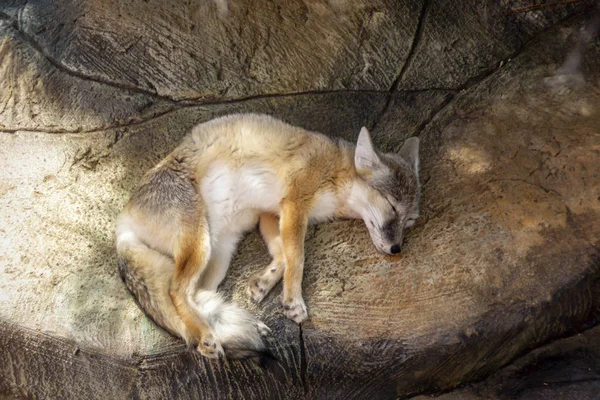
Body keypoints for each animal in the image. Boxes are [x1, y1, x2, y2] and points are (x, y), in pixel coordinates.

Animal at [115, 112, 420, 362]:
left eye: (409, 220)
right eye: (392, 207)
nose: (396, 248)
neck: (336, 169)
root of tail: (123, 222)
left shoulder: (270, 214)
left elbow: (283, 254)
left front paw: (264, 282)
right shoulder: (294, 204)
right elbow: (297, 257)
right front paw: (294, 300)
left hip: (221, 251)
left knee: (197, 296)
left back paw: (215, 330)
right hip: (199, 243)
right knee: (176, 291)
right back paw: (205, 336)